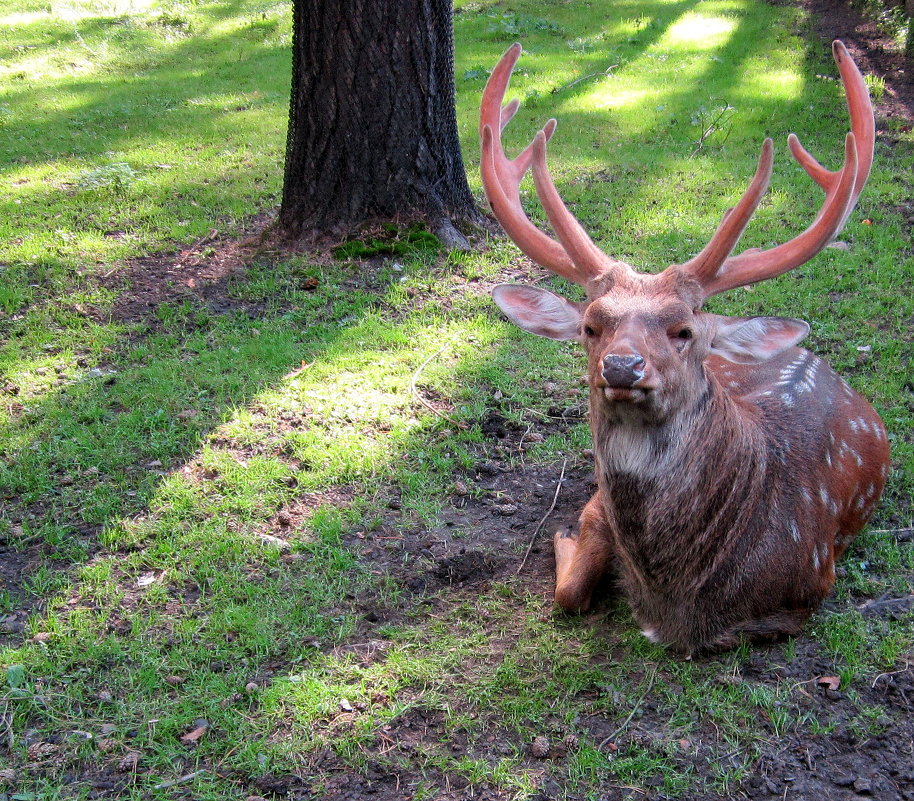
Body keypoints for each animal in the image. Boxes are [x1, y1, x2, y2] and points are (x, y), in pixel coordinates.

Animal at [480, 43, 888, 652]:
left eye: (684, 331)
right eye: (591, 326)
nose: (623, 367)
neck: (676, 597)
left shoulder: (807, 588)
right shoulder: (599, 511)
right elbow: (569, 591)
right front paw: (564, 538)